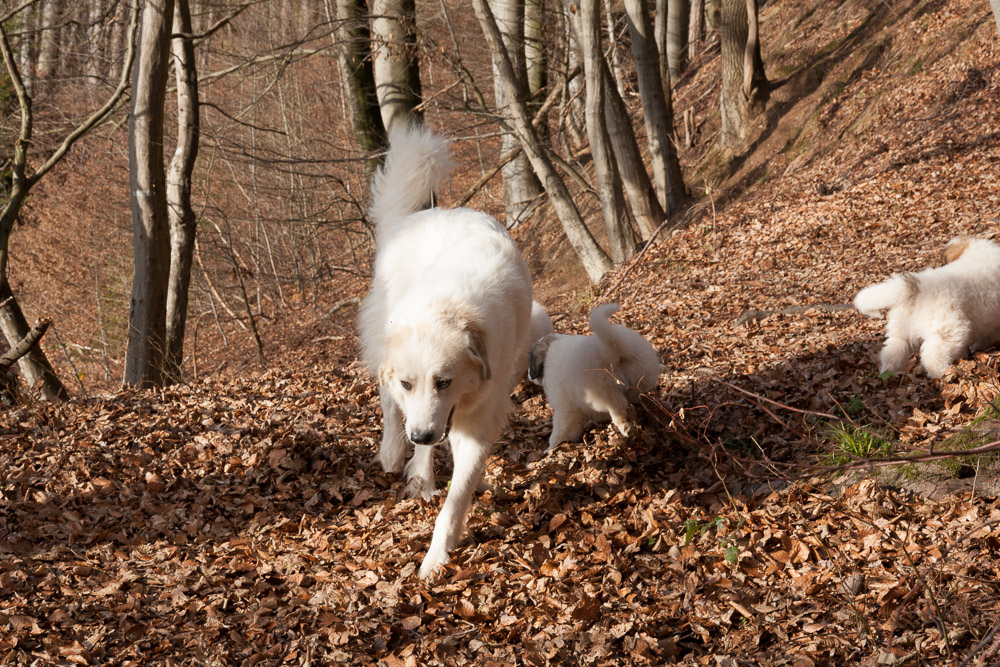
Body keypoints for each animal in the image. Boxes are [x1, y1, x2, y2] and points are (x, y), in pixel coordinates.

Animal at [358, 125, 536, 580]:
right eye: (409, 382)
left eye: (445, 382)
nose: (421, 434)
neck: (449, 305)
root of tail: (418, 215)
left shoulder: (476, 414)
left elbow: (457, 497)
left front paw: (437, 554)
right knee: (389, 406)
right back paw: (396, 454)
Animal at [528, 304, 660, 452]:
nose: (528, 375)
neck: (550, 350)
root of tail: (614, 349)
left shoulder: (565, 407)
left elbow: (560, 430)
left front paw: (550, 449)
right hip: (641, 379)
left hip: (602, 391)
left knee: (618, 409)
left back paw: (625, 428)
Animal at [852, 237, 1000, 378]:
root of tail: (917, 289)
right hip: (948, 332)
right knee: (932, 357)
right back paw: (943, 374)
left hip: (901, 333)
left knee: (891, 352)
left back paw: (887, 373)